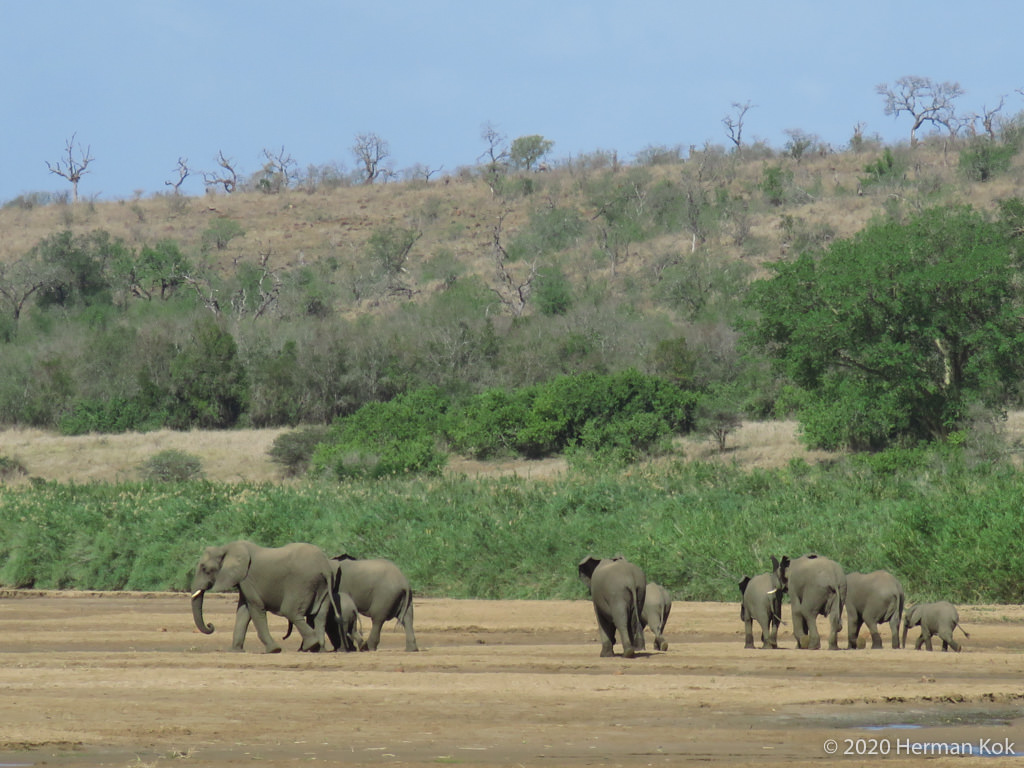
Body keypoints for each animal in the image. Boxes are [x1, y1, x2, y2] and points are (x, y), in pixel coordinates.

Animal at [190, 540, 338, 653]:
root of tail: (324, 567)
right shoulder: (243, 580)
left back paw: (311, 645)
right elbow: (243, 610)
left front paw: (274, 650)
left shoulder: (247, 579)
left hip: (302, 583)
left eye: (204, 569)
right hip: (322, 585)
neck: (226, 548)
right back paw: (319, 649)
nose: (210, 625)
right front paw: (235, 651)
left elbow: (255, 607)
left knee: (291, 611)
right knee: (320, 615)